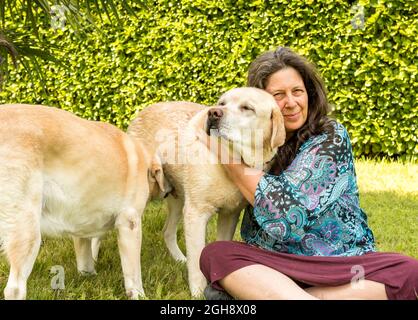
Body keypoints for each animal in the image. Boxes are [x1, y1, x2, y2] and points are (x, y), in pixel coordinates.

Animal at [0, 104, 167, 300]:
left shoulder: (82, 222)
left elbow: (85, 256)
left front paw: (88, 275)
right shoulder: (129, 223)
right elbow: (133, 273)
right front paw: (139, 294)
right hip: (27, 231)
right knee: (14, 289)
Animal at [127, 86, 284, 296]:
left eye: (247, 108)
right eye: (222, 103)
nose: (213, 113)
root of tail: (142, 112)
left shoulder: (230, 214)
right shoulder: (196, 214)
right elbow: (197, 260)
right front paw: (198, 292)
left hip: (178, 199)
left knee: (167, 231)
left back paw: (179, 259)